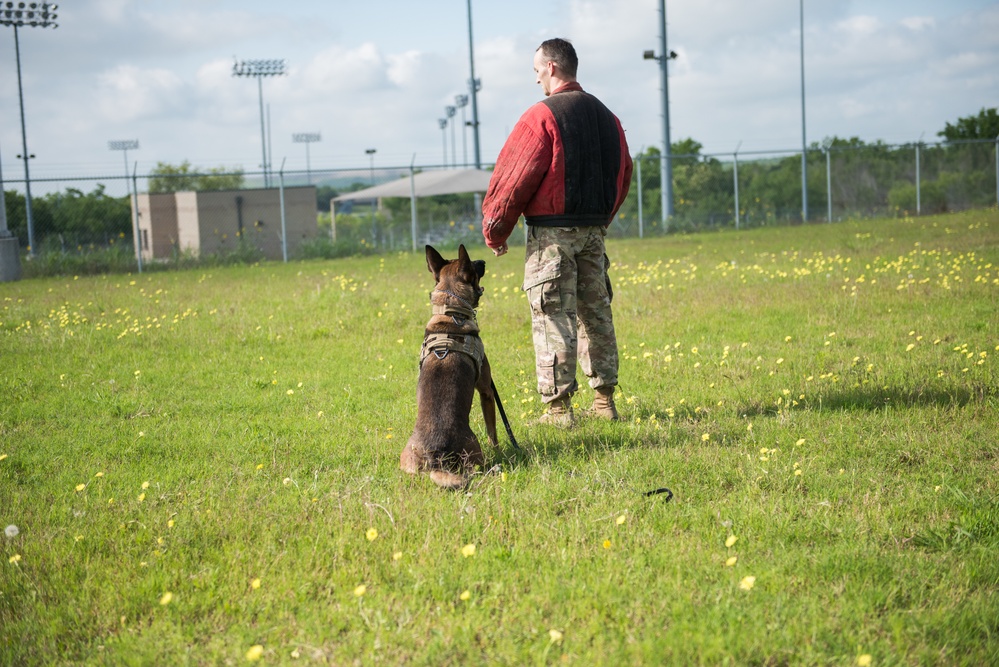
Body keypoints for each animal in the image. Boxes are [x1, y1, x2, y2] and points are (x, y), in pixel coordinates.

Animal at [400, 245, 500, 490]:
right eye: (473, 265)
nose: (483, 260)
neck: (451, 315)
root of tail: (437, 456)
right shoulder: (486, 391)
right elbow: (492, 430)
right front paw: (501, 450)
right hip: (474, 453)